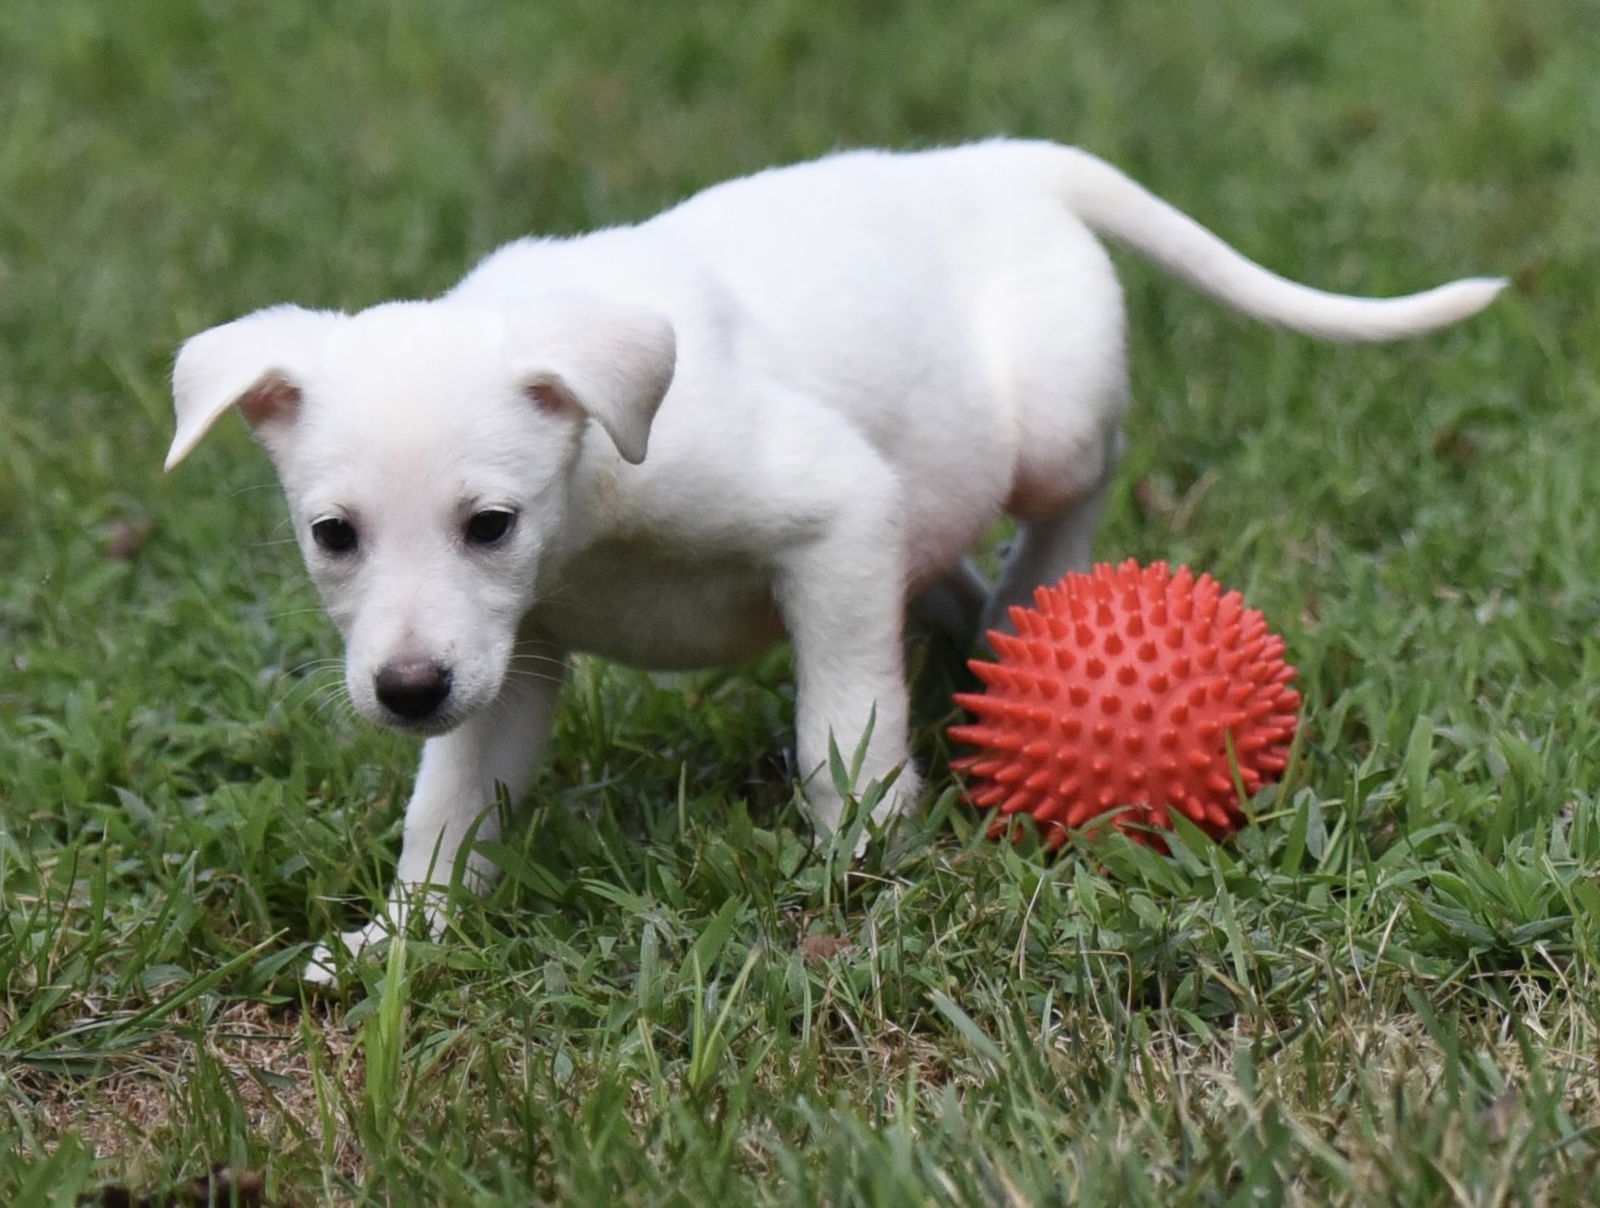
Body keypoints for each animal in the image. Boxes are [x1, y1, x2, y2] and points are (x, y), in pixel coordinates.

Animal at [168, 141, 1504, 979]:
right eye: (332, 535)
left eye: (488, 523)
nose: (404, 692)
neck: (595, 489)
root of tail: (996, 159)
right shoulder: (508, 658)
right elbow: (448, 803)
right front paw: (403, 935)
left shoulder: (837, 518)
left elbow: (839, 725)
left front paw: (862, 864)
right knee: (944, 567)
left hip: (1053, 423)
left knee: (1069, 491)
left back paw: (1028, 597)